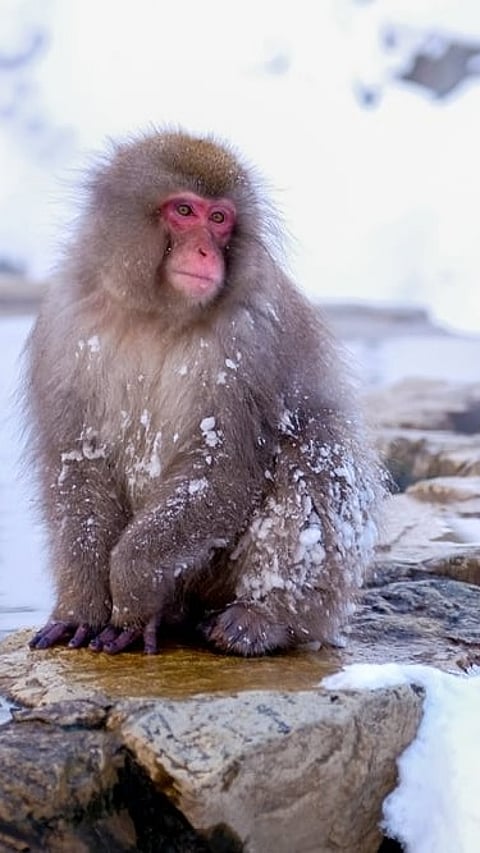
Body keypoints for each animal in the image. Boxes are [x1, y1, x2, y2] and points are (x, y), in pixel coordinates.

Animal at [26, 129, 383, 657]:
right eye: (184, 211)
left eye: (219, 220)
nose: (204, 253)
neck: (155, 314)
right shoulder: (65, 325)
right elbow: (78, 465)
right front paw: (80, 608)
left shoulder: (249, 342)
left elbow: (224, 467)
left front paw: (132, 594)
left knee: (315, 450)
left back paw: (261, 619)